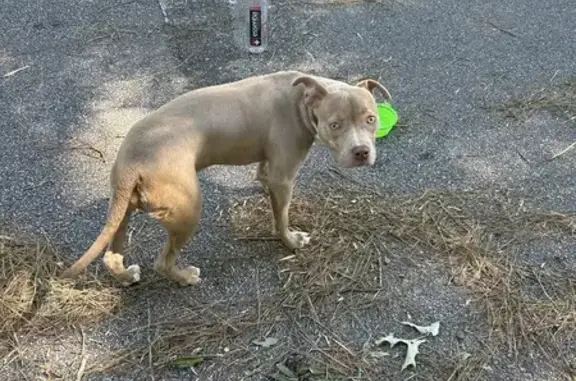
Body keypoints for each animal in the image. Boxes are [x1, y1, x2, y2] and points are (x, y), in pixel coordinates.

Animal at [60, 70, 390, 284]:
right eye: (335, 125)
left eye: (371, 119)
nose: (361, 152)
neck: (303, 100)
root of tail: (132, 161)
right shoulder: (284, 176)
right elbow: (281, 217)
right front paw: (290, 240)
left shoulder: (270, 166)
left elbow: (265, 182)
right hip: (187, 208)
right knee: (163, 260)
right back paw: (185, 277)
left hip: (122, 208)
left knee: (111, 255)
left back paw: (127, 275)